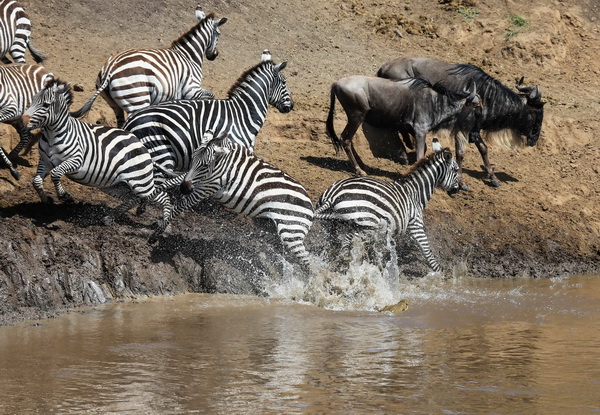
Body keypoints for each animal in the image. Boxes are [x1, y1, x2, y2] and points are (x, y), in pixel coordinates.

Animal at [21, 79, 171, 229]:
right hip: (113, 184)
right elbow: (36, 181)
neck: (52, 135)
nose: (22, 121)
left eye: (46, 105)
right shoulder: (45, 161)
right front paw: (46, 200)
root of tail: (142, 145)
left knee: (164, 197)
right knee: (131, 199)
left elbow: (56, 173)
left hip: (141, 183)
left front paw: (65, 197)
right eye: (32, 100)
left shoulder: (76, 160)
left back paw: (165, 228)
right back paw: (108, 218)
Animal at [72, 5, 227, 127]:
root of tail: (110, 68)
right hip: (137, 100)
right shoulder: (192, 90)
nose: (214, 55)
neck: (189, 56)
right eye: (219, 34)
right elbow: (211, 96)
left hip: (115, 104)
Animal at [152, 130, 314, 268]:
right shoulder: (197, 180)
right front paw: (152, 192)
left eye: (205, 165)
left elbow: (178, 207)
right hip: (271, 227)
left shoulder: (207, 188)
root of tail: (310, 204)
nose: (184, 189)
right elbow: (170, 182)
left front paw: (156, 234)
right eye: (191, 159)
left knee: (307, 262)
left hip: (291, 231)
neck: (222, 164)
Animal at [314, 148, 460, 274]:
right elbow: (426, 248)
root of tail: (333, 195)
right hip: (364, 224)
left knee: (333, 243)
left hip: (332, 226)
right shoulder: (415, 224)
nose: (458, 189)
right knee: (346, 242)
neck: (415, 194)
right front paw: (440, 273)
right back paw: (345, 263)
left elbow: (375, 250)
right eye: (456, 170)